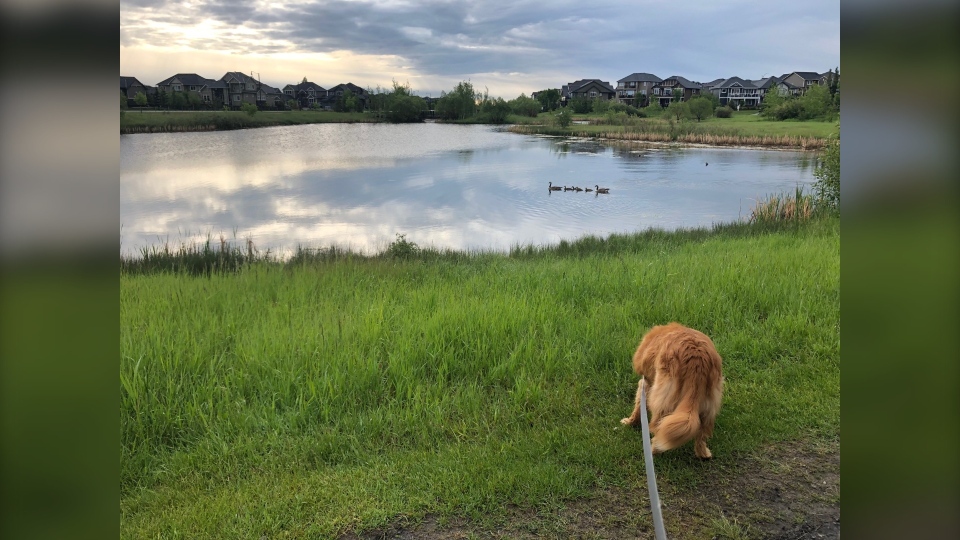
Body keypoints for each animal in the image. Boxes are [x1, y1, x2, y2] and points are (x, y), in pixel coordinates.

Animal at [620, 322, 724, 458]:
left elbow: (638, 407)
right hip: (710, 403)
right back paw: (703, 454)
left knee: (658, 425)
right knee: (702, 433)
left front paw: (629, 422)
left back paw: (654, 449)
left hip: (662, 399)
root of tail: (697, 359)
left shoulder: (645, 383)